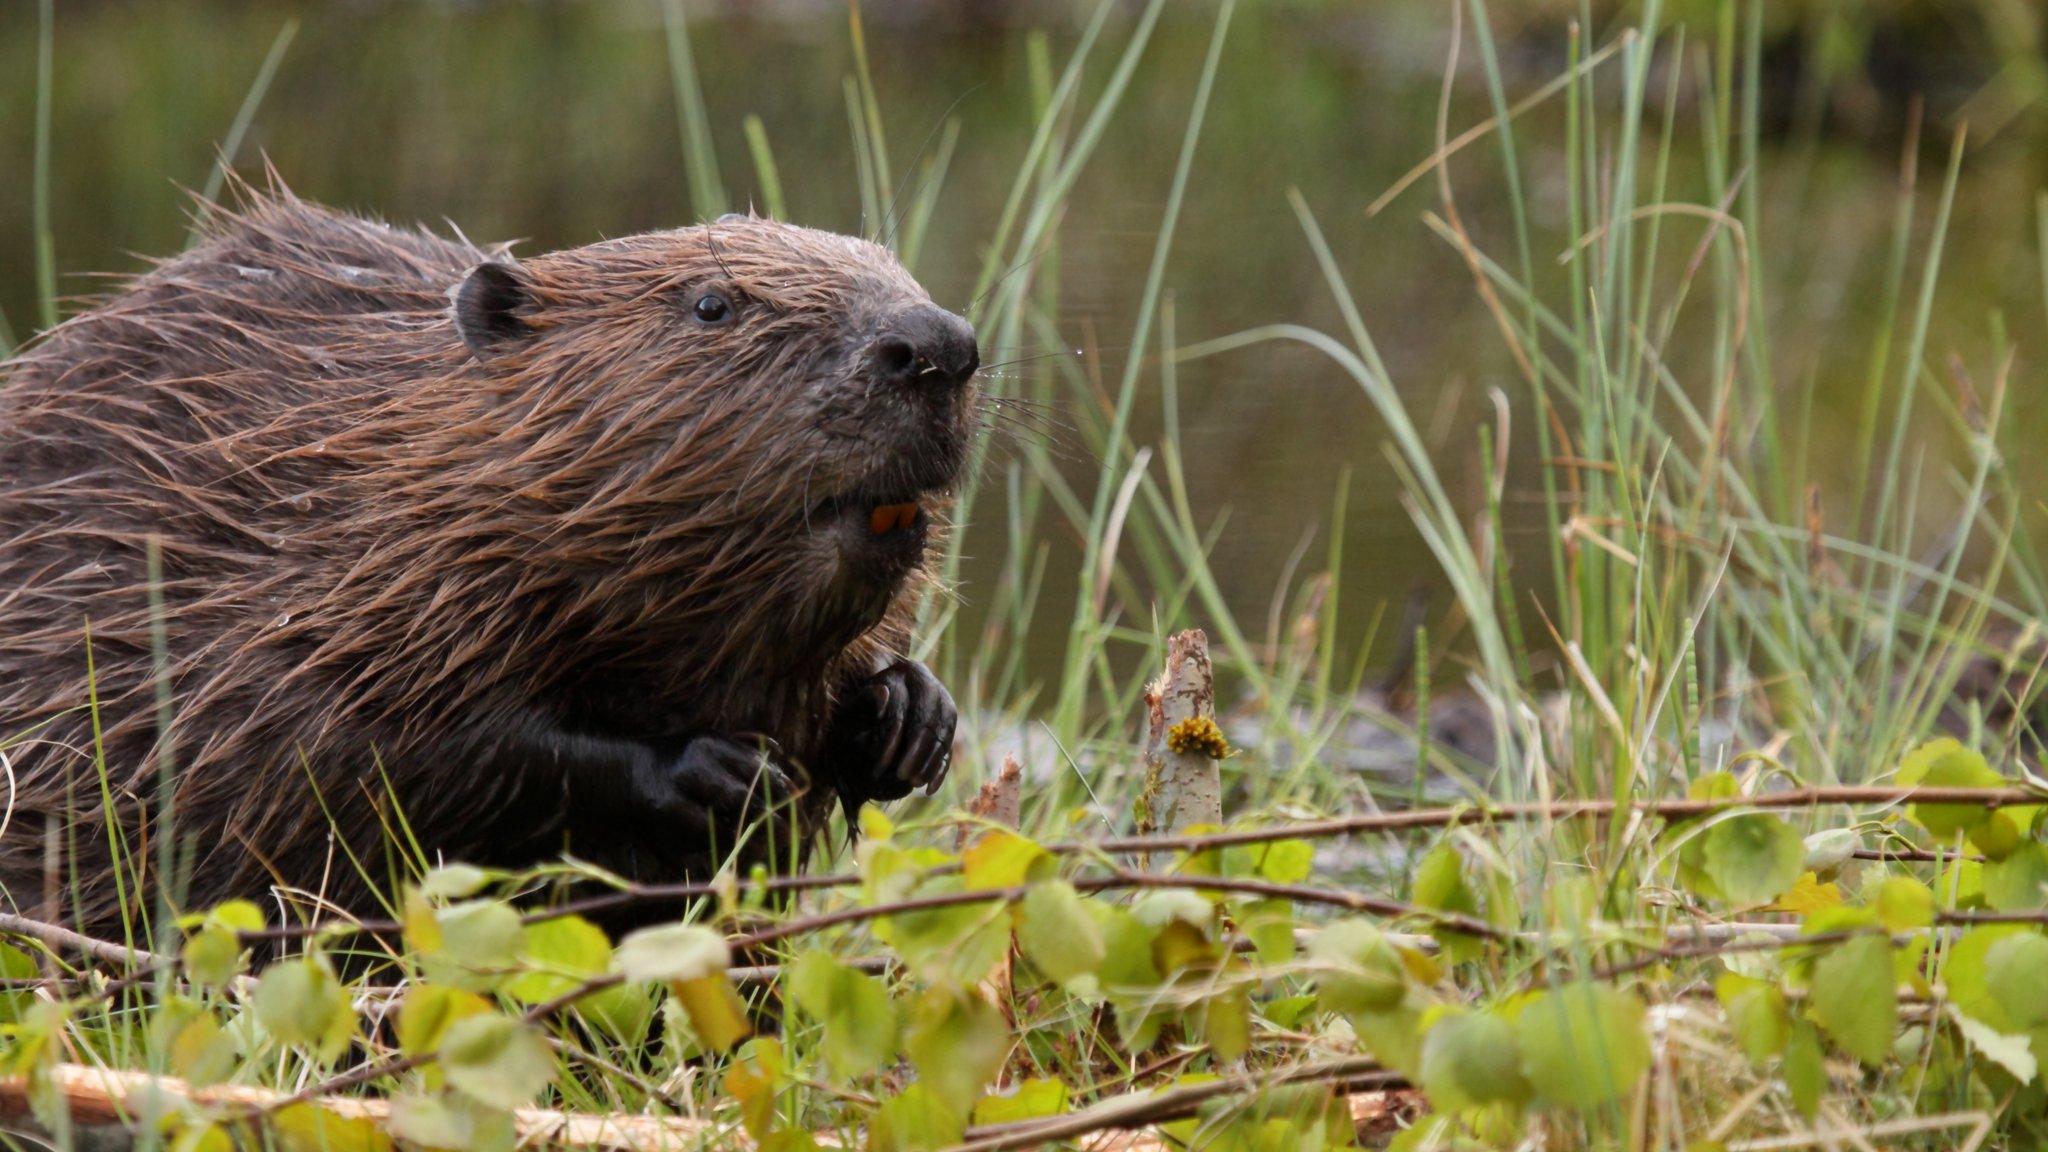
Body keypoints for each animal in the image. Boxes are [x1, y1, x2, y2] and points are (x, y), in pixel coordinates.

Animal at [0, 181, 974, 934]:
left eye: (894, 269)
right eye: (712, 305)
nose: (937, 346)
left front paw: (909, 717)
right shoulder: (300, 595)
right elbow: (379, 750)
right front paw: (720, 770)